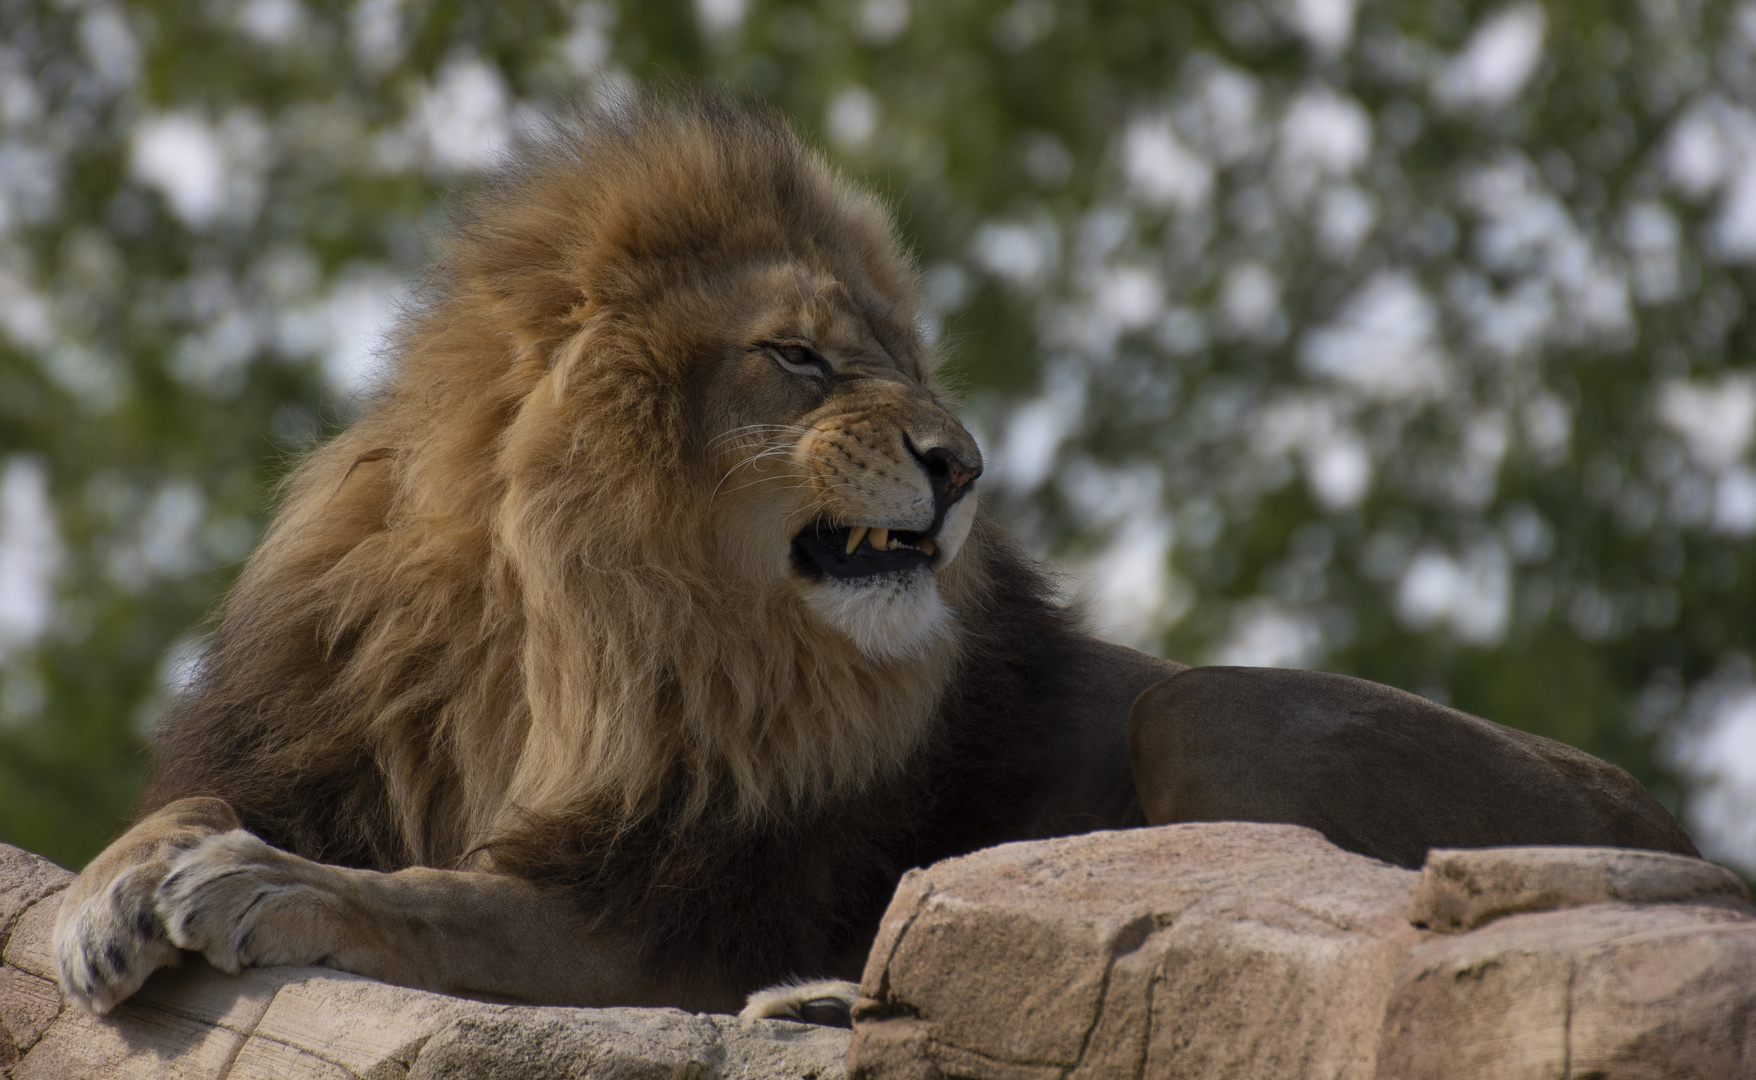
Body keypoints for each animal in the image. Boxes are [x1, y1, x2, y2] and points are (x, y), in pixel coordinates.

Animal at [54, 90, 1699, 1025]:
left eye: (910, 362)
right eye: (800, 357)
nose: (963, 467)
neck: (556, 629)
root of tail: (1679, 834)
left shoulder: (661, 919)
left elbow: (434, 899)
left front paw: (256, 881)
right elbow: (185, 809)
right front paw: (110, 893)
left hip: (1213, 704)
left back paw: (825, 1000)